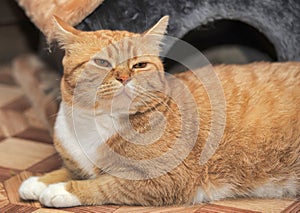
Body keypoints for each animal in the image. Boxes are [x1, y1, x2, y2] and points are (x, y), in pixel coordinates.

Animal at [18, 15, 300, 208]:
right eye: (101, 62)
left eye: (139, 65)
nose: (124, 77)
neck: (98, 123)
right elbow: (70, 170)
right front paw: (38, 181)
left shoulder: (164, 179)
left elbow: (104, 184)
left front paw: (61, 190)